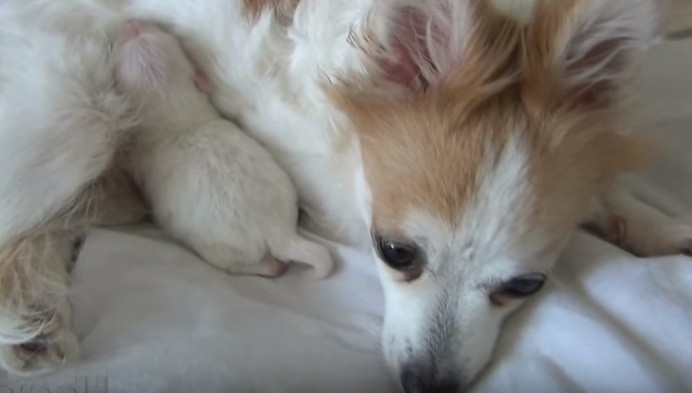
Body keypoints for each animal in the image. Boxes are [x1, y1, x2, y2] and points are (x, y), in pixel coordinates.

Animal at [111, 22, 332, 278]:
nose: (133, 25)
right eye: (164, 35)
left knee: (235, 262)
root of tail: (280, 232)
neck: (172, 105)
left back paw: (270, 266)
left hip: (221, 248)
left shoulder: (137, 157)